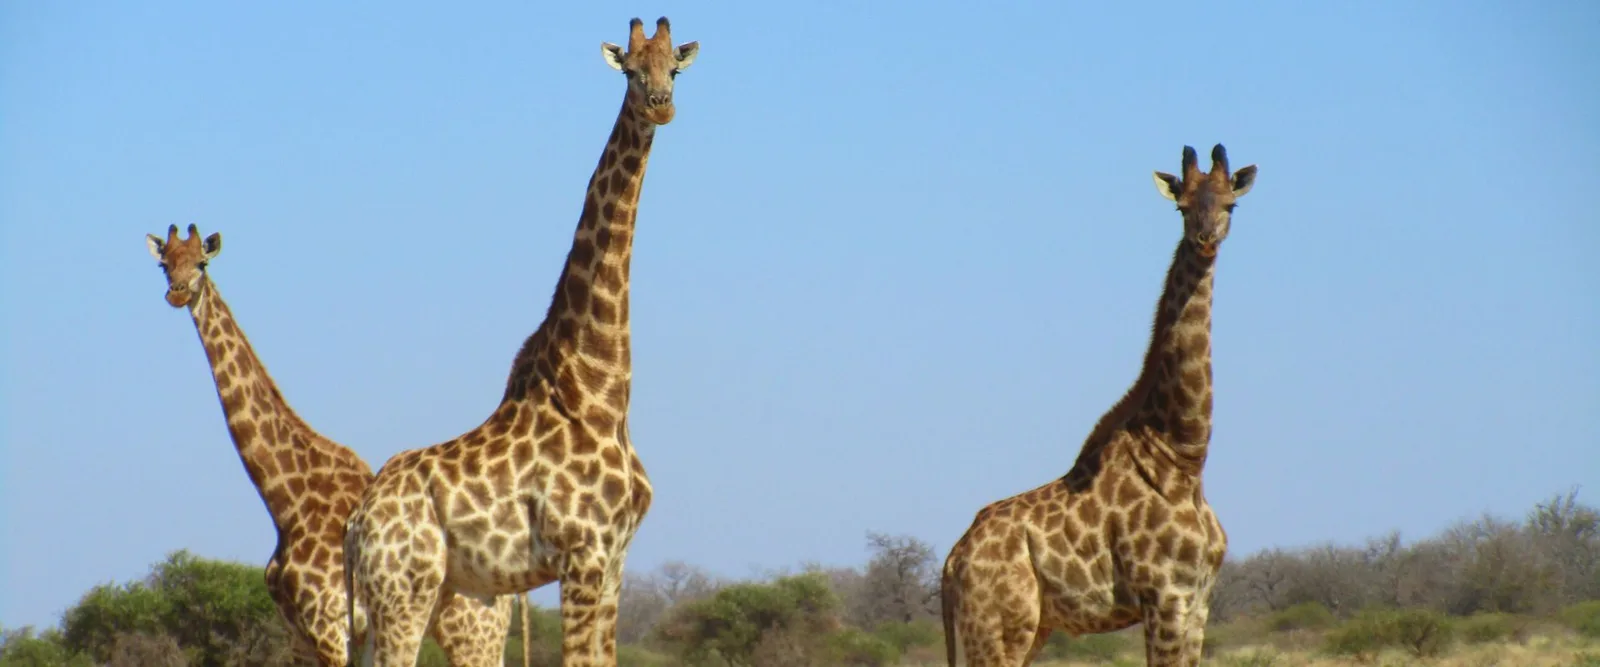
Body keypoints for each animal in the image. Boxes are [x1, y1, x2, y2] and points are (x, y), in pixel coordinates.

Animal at [144, 223, 526, 667]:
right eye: (164, 264)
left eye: (202, 263)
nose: (178, 292)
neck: (286, 501)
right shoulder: (298, 638)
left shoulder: (330, 626)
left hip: (470, 627)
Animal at [341, 17, 698, 667]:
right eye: (632, 72)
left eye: (674, 70)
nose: (661, 105)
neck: (602, 391)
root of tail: (357, 524)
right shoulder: (582, 554)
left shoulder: (615, 561)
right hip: (405, 591)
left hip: (395, 599)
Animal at [939, 145, 1258, 667]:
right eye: (1182, 208)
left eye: (1231, 205)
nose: (1206, 239)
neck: (1184, 455)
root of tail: (951, 562)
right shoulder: (1164, 595)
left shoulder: (1199, 600)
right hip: (1000, 630)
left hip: (1020, 631)